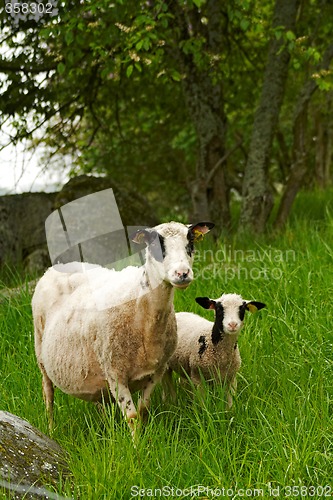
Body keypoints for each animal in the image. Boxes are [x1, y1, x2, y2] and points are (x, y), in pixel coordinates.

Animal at [31, 221, 213, 432]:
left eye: (190, 243)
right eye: (155, 246)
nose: (182, 273)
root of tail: (55, 267)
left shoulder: (156, 371)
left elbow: (143, 409)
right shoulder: (115, 373)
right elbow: (132, 416)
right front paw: (136, 441)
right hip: (41, 352)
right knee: (48, 393)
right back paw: (51, 429)